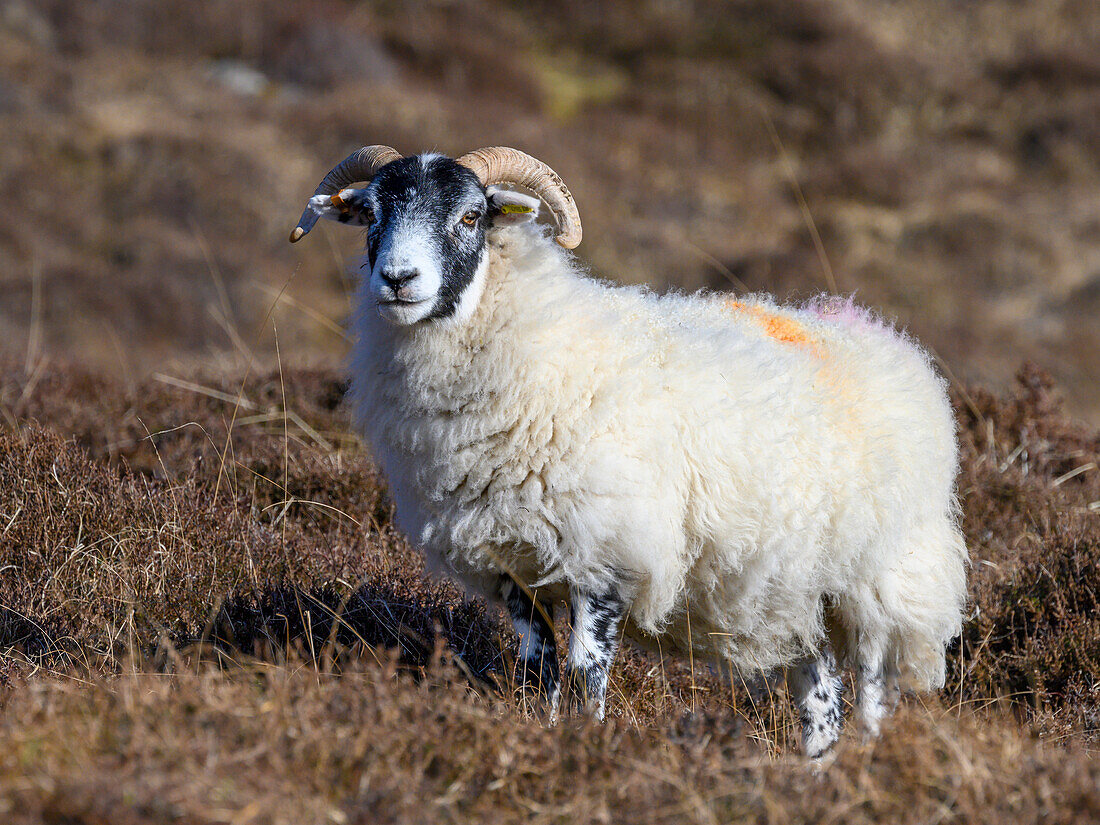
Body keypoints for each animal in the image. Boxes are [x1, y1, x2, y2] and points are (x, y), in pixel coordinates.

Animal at [288, 147, 968, 756]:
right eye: (372, 214)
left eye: (470, 216)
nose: (398, 280)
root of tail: (871, 330)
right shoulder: (514, 563)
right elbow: (538, 668)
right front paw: (541, 733)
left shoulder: (606, 555)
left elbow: (587, 671)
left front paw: (587, 747)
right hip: (798, 591)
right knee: (820, 691)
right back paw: (817, 775)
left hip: (881, 577)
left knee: (873, 687)